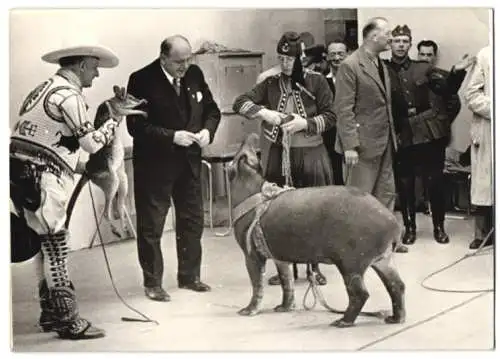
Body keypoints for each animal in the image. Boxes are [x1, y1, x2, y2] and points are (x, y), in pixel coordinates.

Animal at [64, 86, 146, 240]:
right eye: (131, 97)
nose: (141, 99)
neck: (113, 100)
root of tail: (88, 172)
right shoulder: (119, 110)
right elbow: (130, 110)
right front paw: (142, 109)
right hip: (110, 179)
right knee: (107, 213)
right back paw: (115, 229)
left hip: (122, 179)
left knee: (119, 206)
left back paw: (125, 227)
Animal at [227, 134, 406, 330]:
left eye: (240, 154)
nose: (251, 136)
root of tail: (393, 225)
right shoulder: (280, 258)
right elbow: (287, 282)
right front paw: (283, 308)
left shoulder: (251, 254)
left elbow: (257, 284)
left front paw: (247, 311)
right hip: (383, 260)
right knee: (397, 286)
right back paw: (395, 319)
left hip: (351, 263)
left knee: (360, 293)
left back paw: (342, 322)